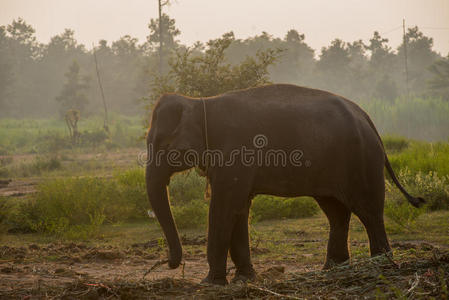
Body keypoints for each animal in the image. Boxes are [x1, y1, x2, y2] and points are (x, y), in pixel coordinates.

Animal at [144, 83, 424, 284]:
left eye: (162, 144)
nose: (170, 263)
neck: (200, 101)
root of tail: (367, 118)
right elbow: (239, 206)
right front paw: (244, 279)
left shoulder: (236, 151)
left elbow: (224, 206)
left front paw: (210, 283)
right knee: (336, 212)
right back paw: (332, 269)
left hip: (361, 160)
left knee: (369, 212)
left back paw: (380, 267)